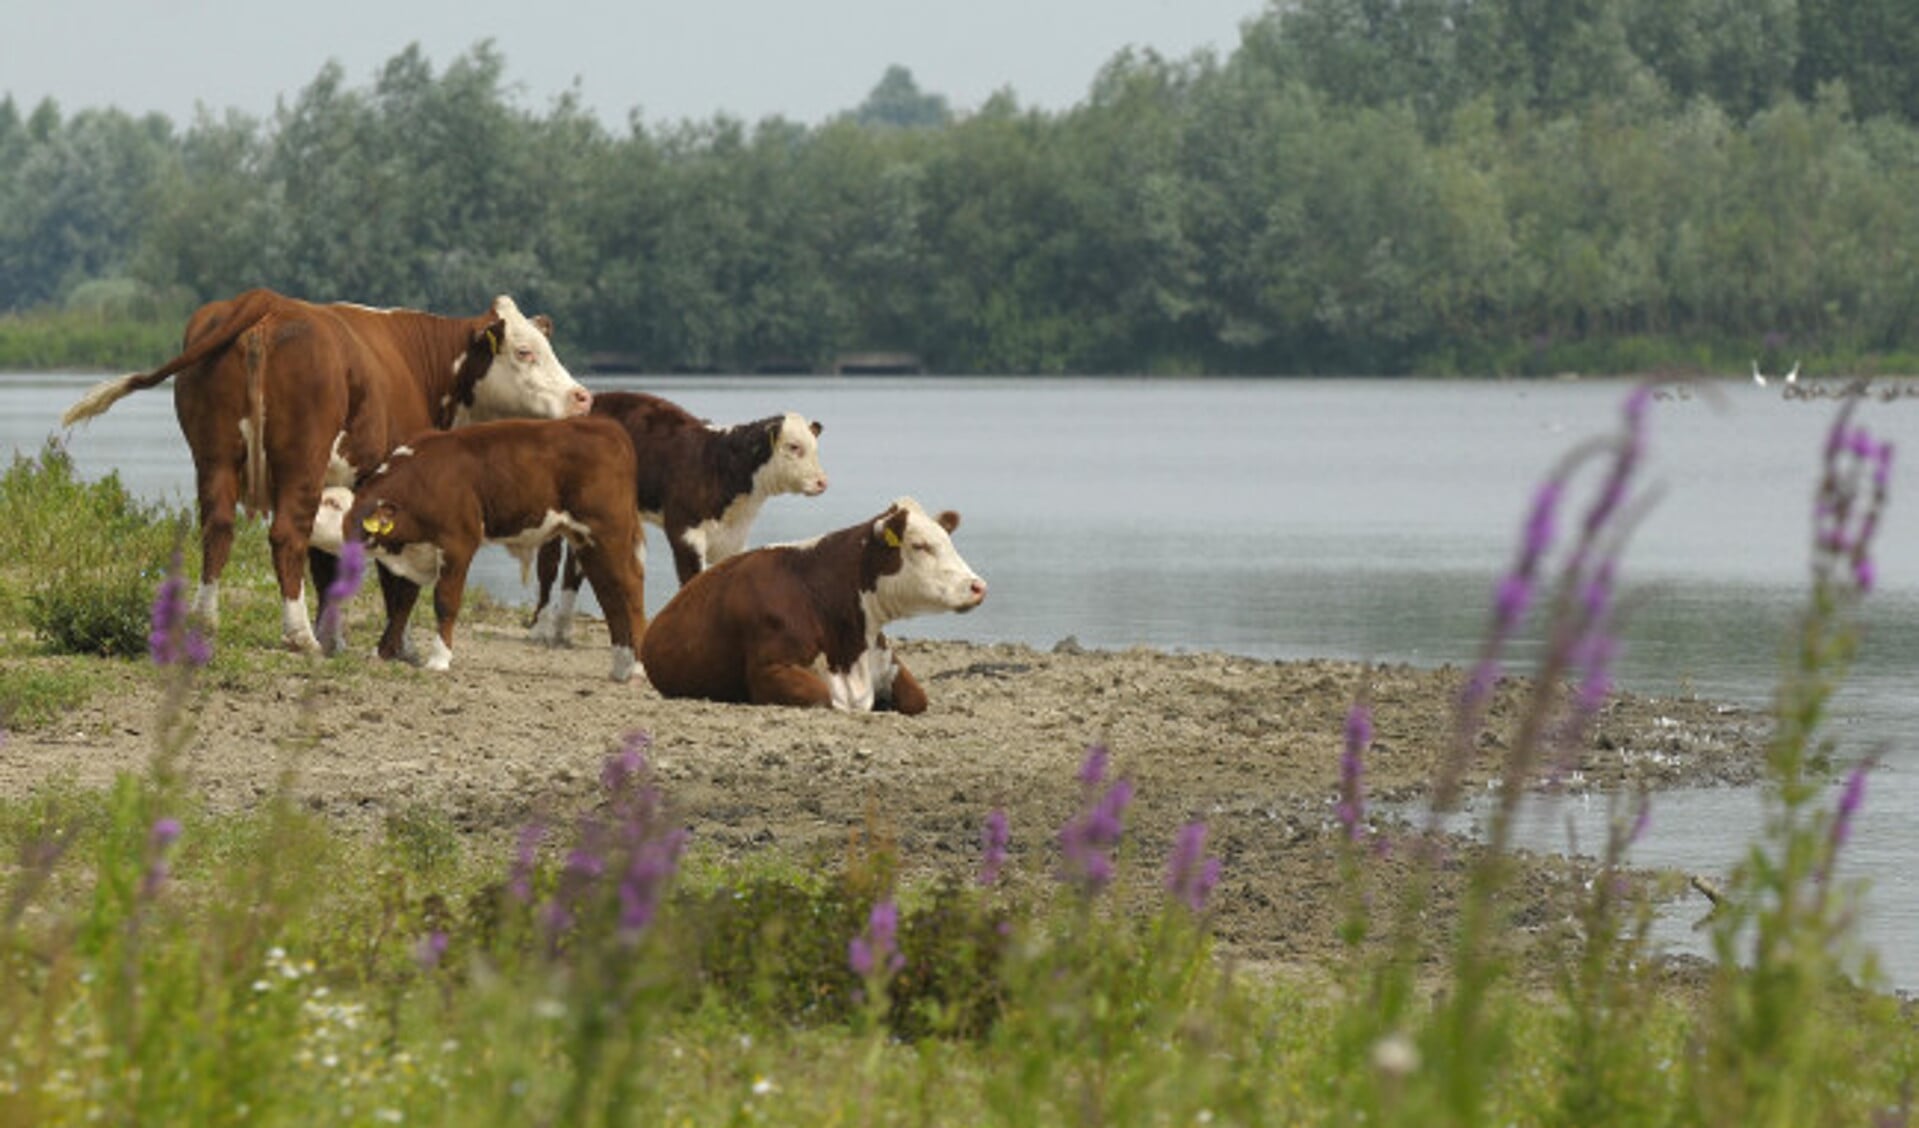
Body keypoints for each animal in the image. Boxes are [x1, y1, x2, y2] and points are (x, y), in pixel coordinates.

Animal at [59, 287, 587, 652]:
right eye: (524, 351)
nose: (582, 397)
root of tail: (267, 301)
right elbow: (390, 576)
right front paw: (393, 646)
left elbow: (327, 564)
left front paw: (336, 637)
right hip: (301, 457)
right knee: (284, 536)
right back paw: (297, 635)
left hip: (214, 454)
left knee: (219, 528)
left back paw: (206, 622)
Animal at [345, 414, 644, 679]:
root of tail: (607, 426)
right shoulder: (416, 552)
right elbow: (401, 605)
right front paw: (381, 652)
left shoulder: (458, 543)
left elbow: (445, 601)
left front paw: (439, 658)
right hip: (586, 541)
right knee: (609, 595)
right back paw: (620, 668)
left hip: (609, 532)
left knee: (630, 588)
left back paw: (638, 668)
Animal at [529, 391, 829, 648]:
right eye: (794, 446)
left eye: (815, 448)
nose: (822, 482)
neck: (718, 465)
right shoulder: (685, 530)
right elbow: (693, 581)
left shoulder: (733, 538)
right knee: (548, 564)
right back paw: (540, 630)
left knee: (574, 565)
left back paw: (563, 632)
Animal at [644, 494, 990, 713]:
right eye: (919, 545)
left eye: (947, 540)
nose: (978, 586)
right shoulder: (769, 668)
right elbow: (822, 696)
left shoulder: (884, 659)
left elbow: (917, 699)